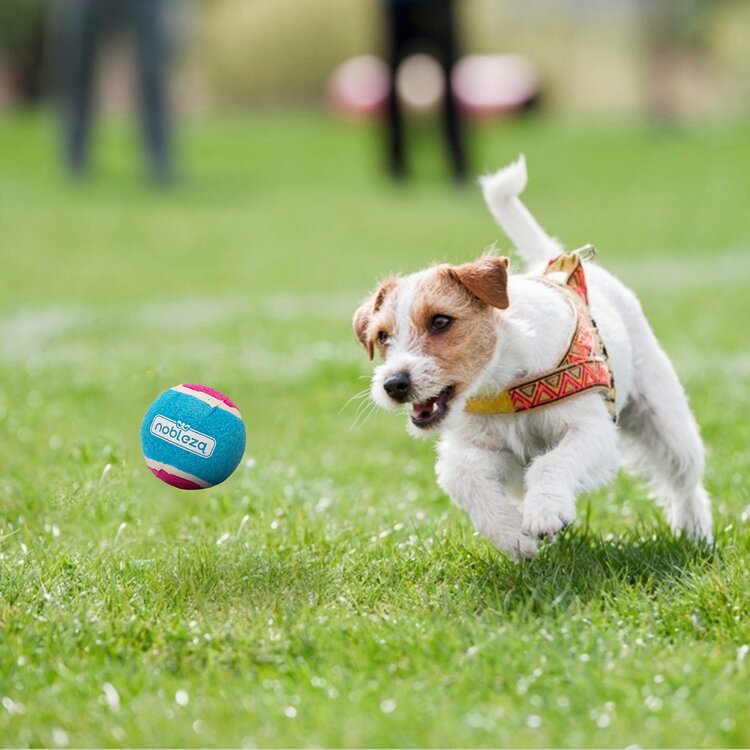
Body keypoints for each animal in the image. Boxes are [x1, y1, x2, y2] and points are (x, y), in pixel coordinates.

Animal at [356, 156, 712, 560]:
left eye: (441, 321)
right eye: (383, 336)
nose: (393, 384)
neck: (506, 382)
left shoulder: (590, 431)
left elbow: (552, 462)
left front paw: (545, 512)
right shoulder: (487, 450)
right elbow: (462, 476)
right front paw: (512, 535)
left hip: (665, 420)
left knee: (685, 479)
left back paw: (695, 531)